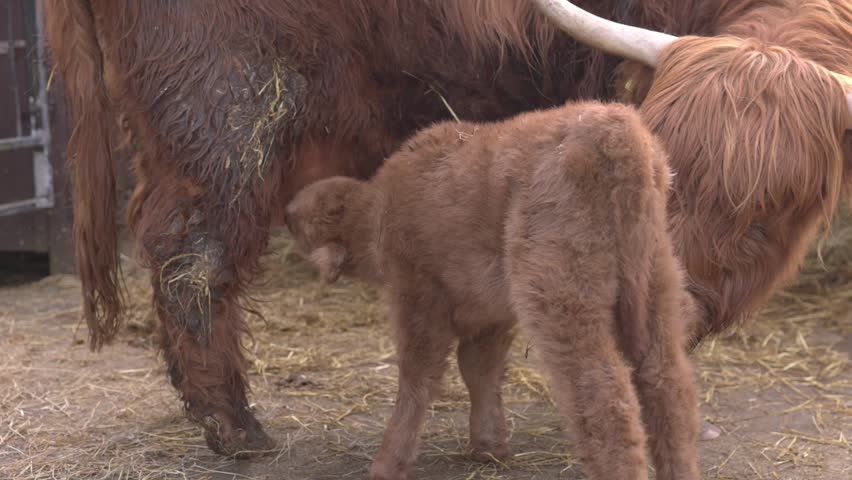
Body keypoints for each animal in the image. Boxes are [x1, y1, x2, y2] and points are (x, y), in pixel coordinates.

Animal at [284, 100, 700, 480]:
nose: (286, 215)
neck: (377, 208)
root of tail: (613, 133)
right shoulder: (490, 314)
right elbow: (479, 368)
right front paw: (489, 447)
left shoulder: (418, 296)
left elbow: (418, 377)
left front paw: (388, 464)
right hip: (658, 282)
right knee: (668, 383)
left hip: (563, 298)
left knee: (603, 395)